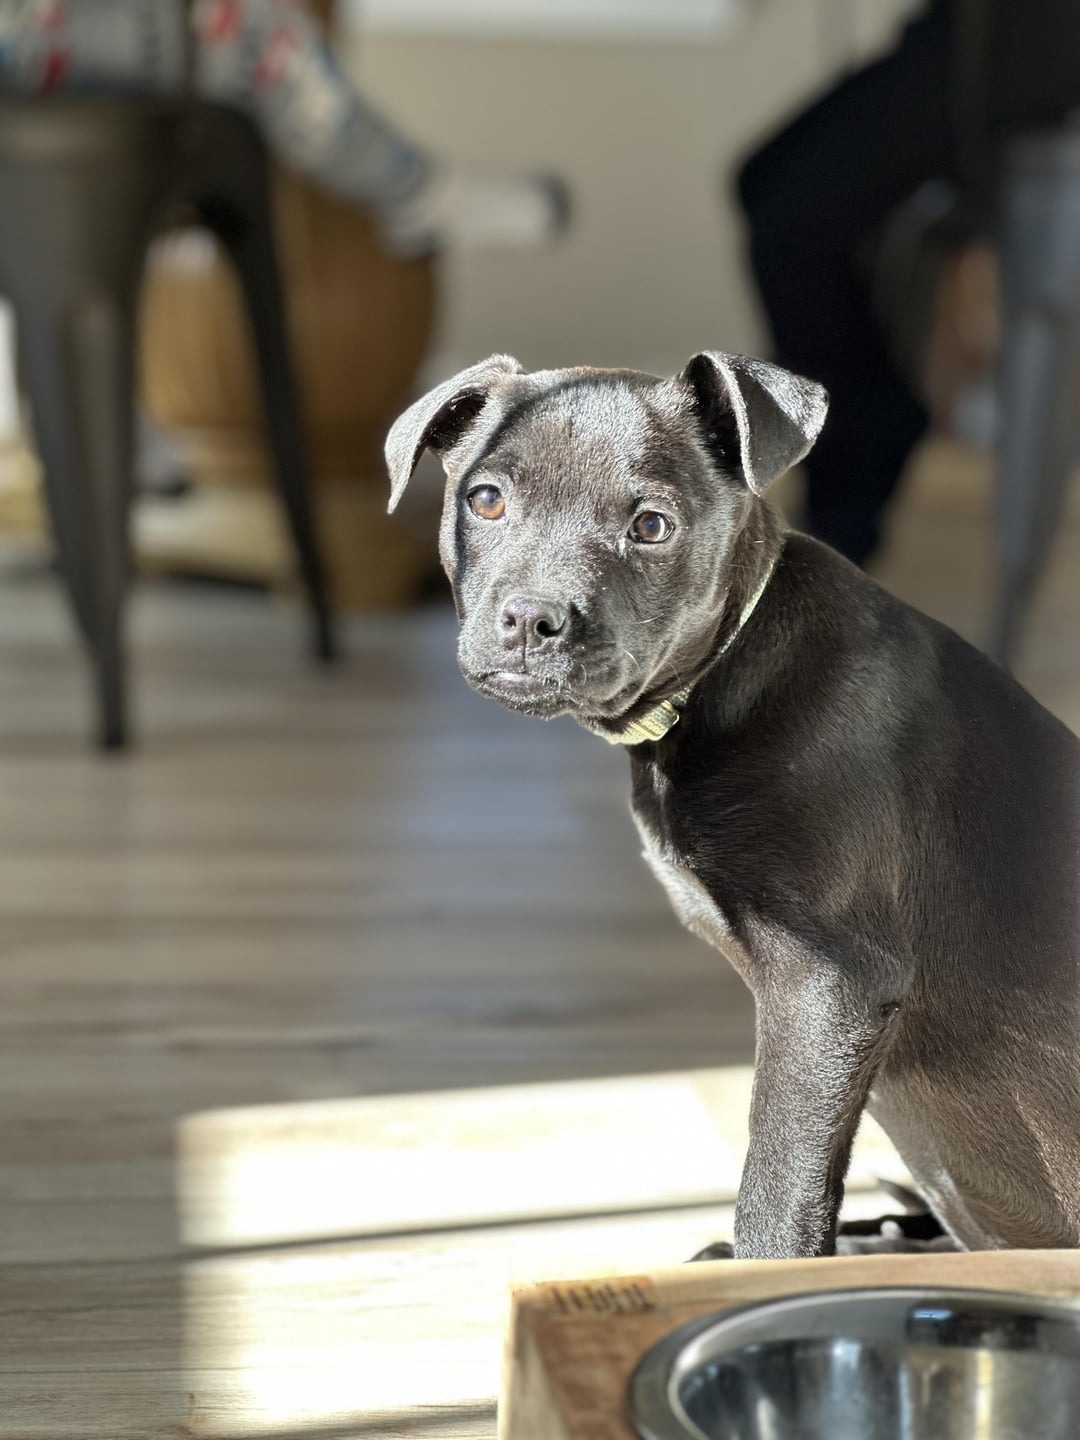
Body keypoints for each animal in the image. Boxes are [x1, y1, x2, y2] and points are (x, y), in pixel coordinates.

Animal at [388, 351, 1080, 1261]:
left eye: (652, 526)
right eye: (486, 499)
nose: (533, 620)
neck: (726, 670)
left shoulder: (828, 984)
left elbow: (779, 1189)